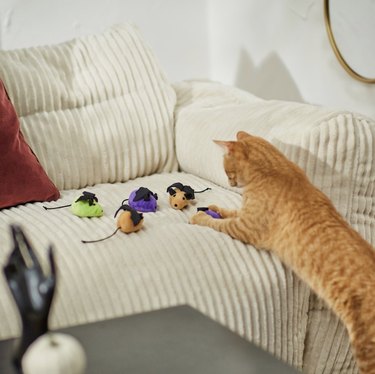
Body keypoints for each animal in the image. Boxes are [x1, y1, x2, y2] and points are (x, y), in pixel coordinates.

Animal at [192, 130, 375, 372]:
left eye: (227, 171)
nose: (230, 182)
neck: (274, 171)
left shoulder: (246, 228)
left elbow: (219, 223)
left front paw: (200, 217)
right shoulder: (244, 217)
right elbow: (229, 212)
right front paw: (214, 208)